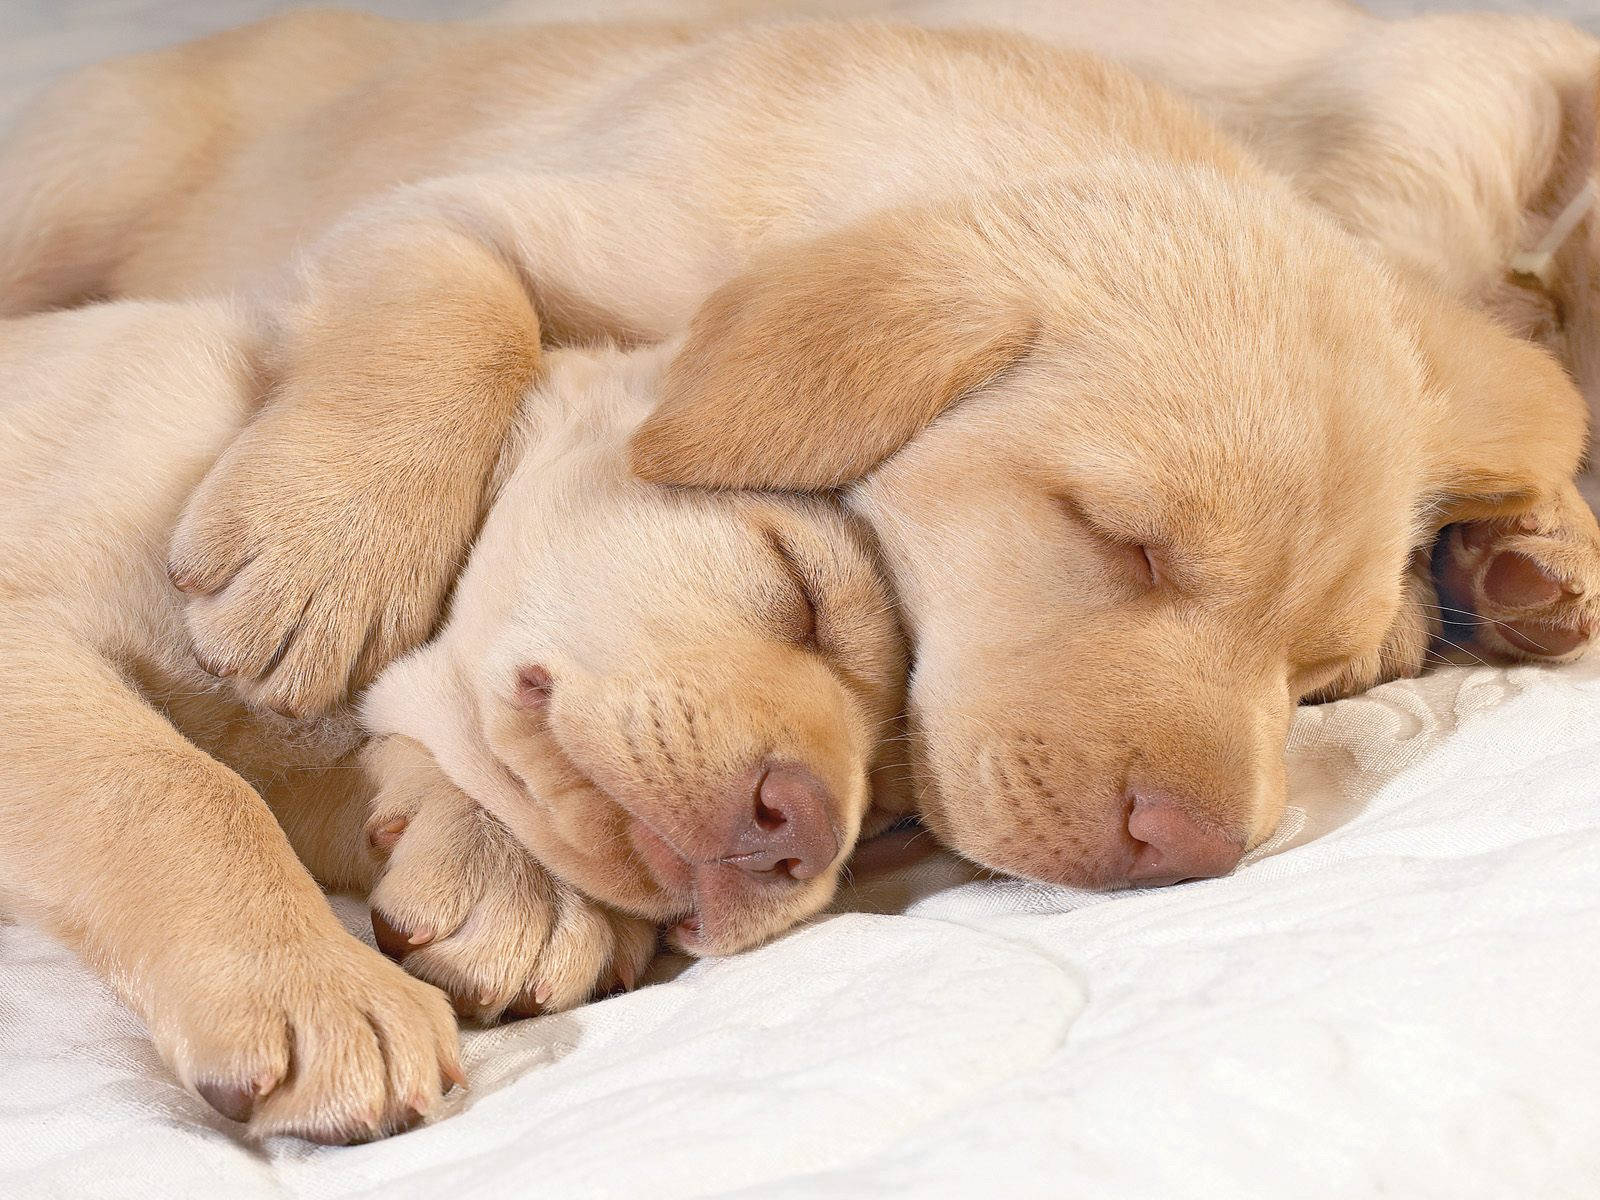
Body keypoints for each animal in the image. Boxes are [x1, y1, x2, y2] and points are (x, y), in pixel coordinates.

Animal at [0, 300, 902, 1145]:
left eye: (893, 825)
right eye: (800, 589)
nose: (808, 839)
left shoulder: (302, 755)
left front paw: (513, 881)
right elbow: (184, 788)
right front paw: (318, 985)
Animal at [3, 9, 1587, 896]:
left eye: (1317, 677)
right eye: (1118, 541)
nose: (1202, 854)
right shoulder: (437, 213)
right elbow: (451, 310)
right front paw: (330, 547)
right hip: (73, 177)